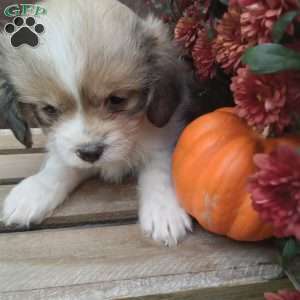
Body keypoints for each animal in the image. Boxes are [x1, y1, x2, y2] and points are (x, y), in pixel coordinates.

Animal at [0, 0, 192, 245]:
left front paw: (164, 210)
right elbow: (59, 165)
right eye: (49, 109)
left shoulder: (162, 139)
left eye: (117, 99)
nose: (90, 153)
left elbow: (159, 171)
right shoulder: (67, 151)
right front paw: (34, 191)